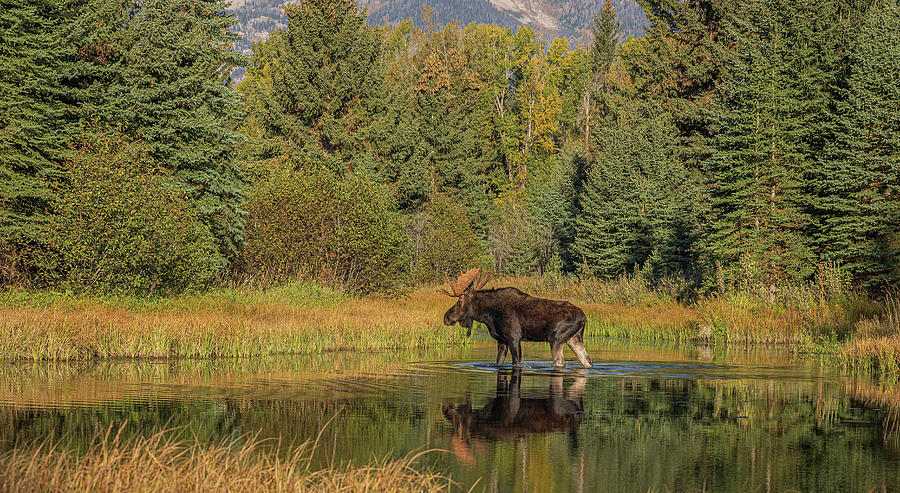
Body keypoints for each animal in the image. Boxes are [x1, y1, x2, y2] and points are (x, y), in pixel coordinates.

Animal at [442, 268, 596, 368]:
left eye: (459, 301)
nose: (446, 317)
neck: (488, 316)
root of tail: (583, 318)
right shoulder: (501, 340)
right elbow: (498, 362)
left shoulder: (514, 338)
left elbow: (516, 363)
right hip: (574, 338)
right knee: (587, 360)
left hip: (556, 339)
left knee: (561, 362)